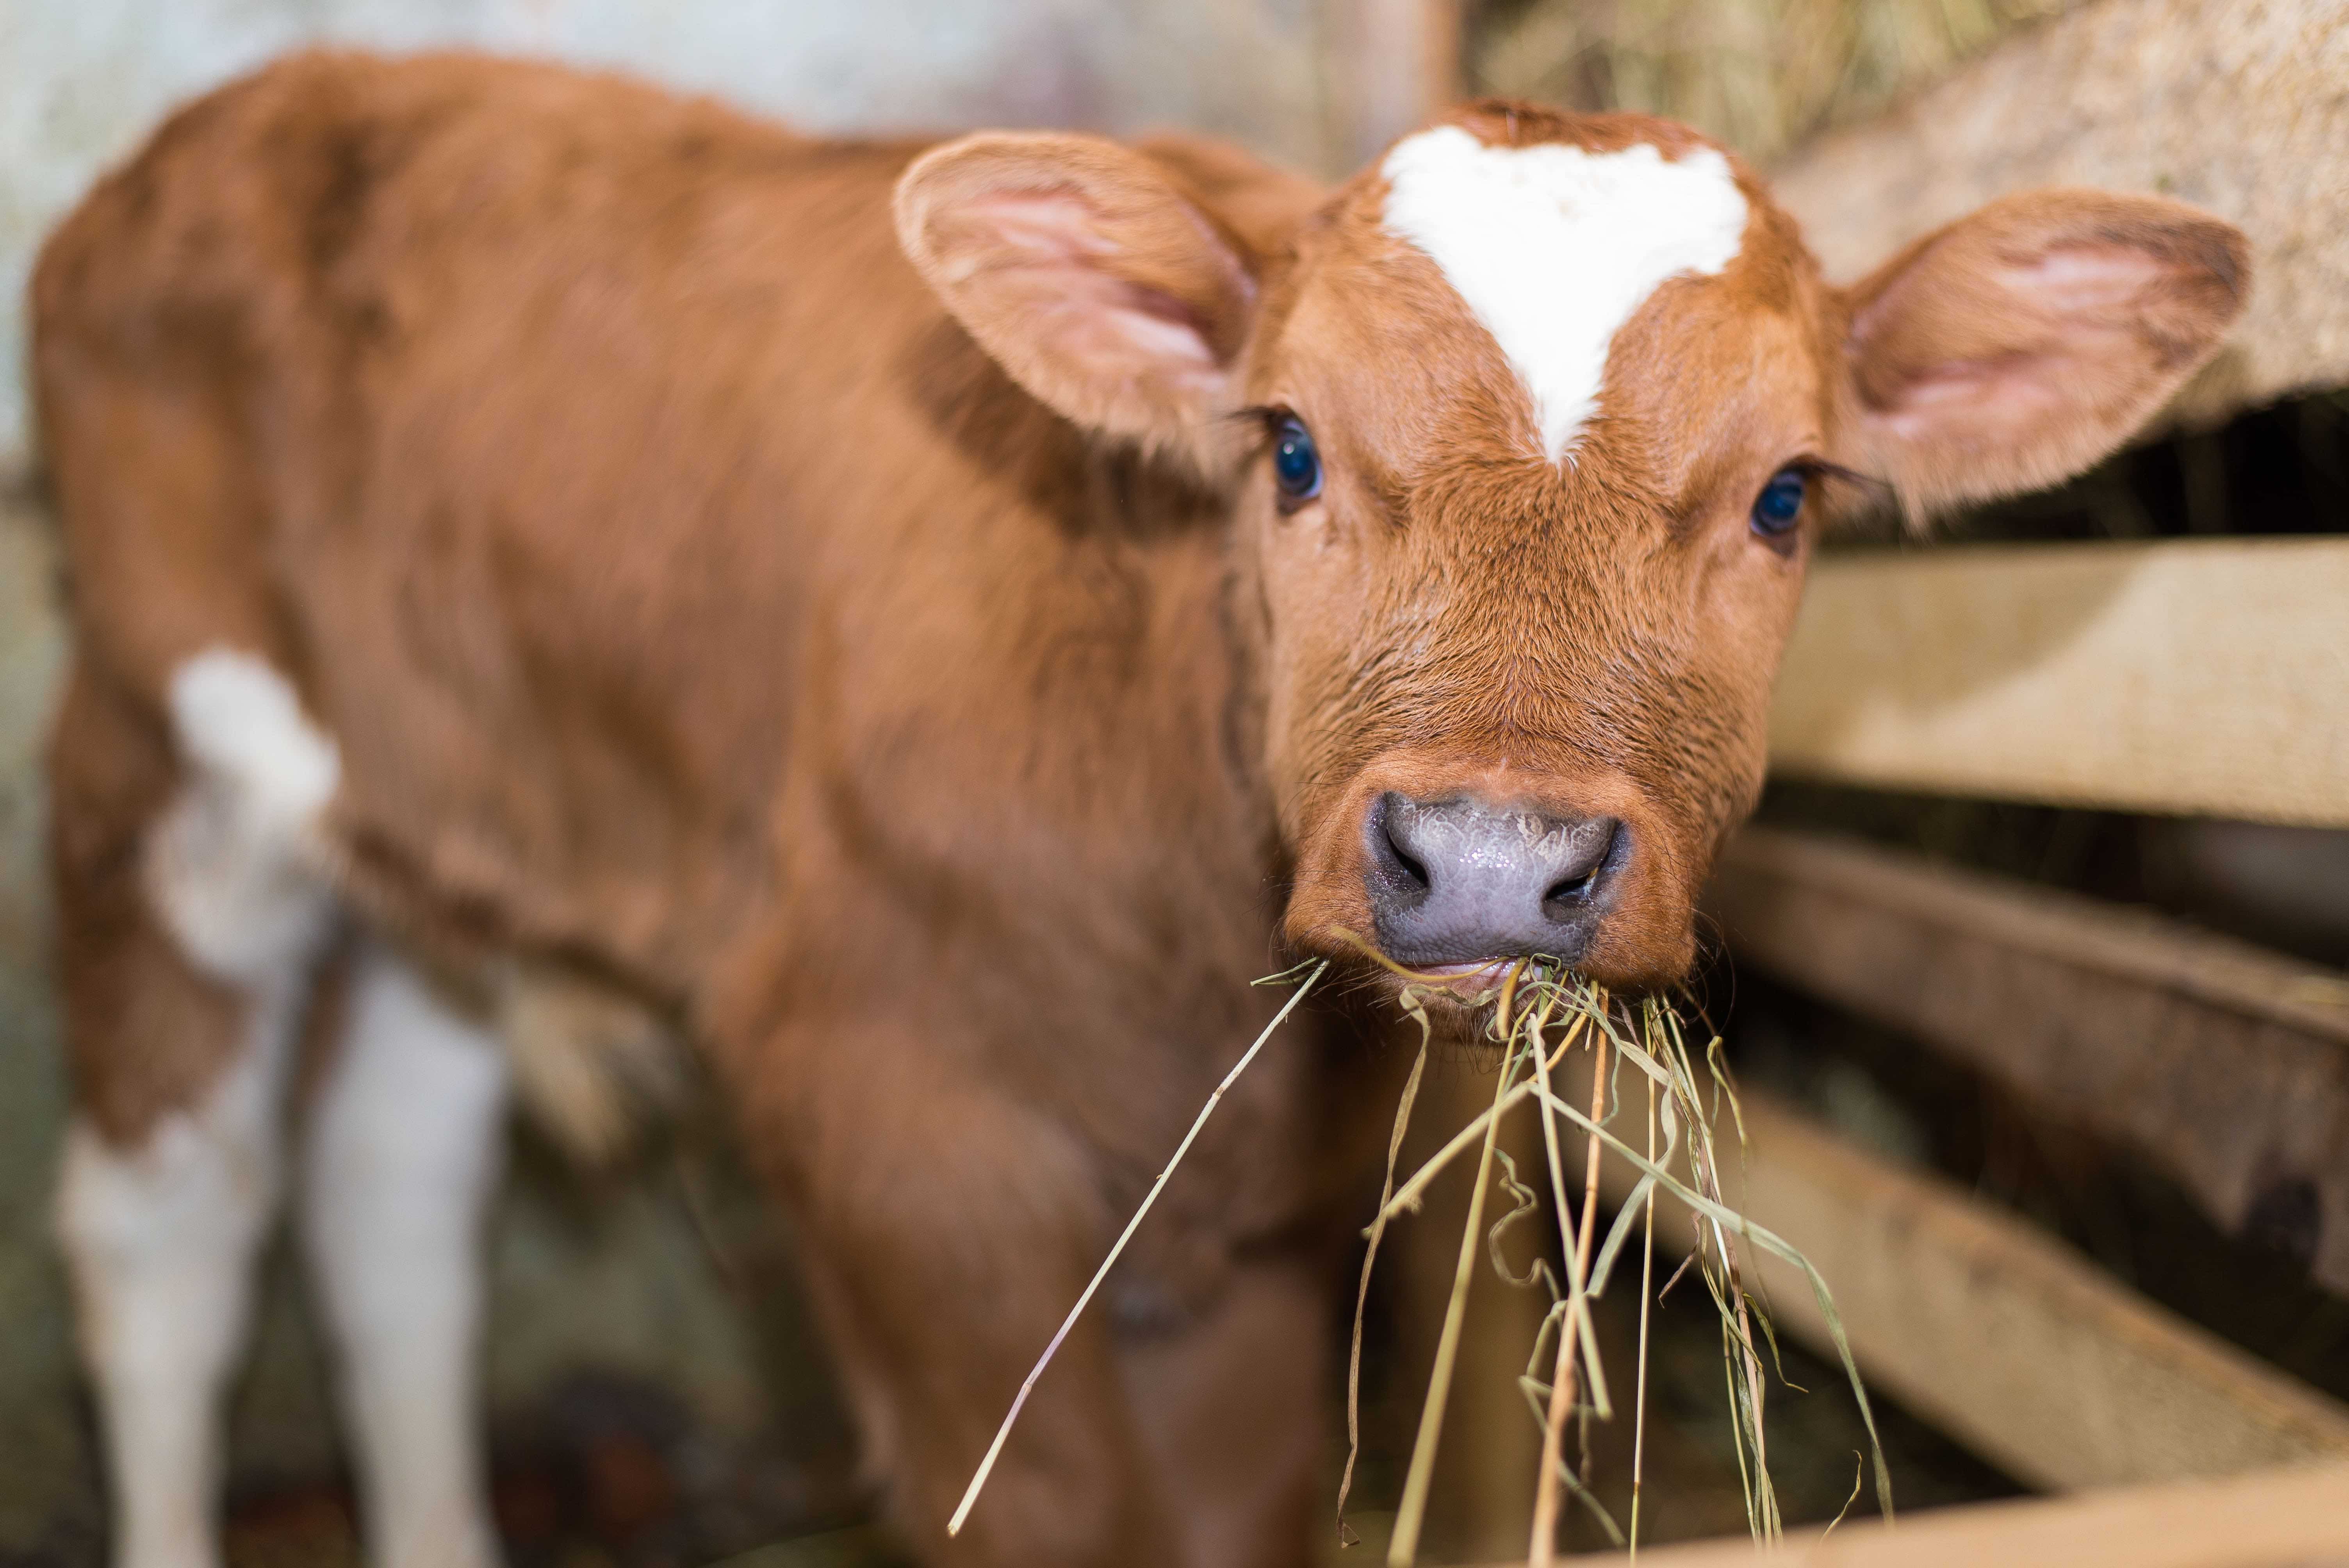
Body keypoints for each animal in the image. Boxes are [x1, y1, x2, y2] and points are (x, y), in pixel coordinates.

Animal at [32, 46, 2236, 1568]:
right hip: (160, 761)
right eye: (1287, 445)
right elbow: (1050, 1508)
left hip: (439, 816)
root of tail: (266, 99)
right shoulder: (891, 1116)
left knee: (392, 1201)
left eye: (1786, 493)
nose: (1494, 855)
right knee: (170, 1228)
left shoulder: (1261, 1234)